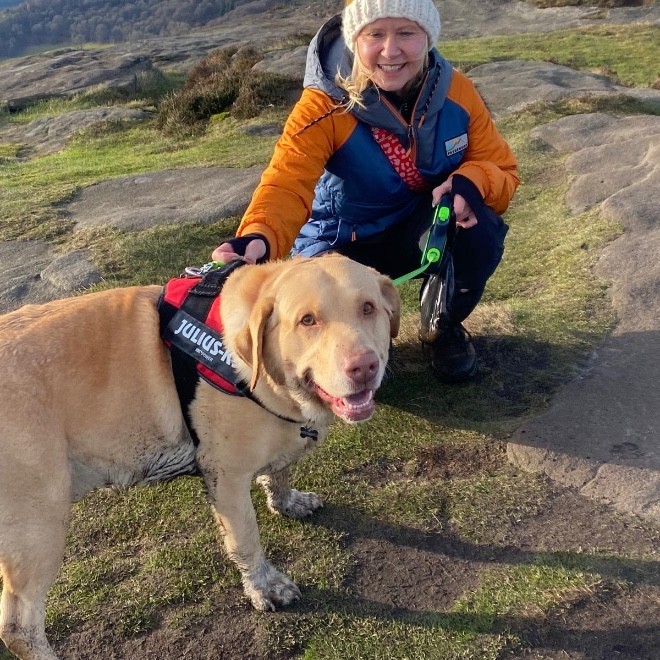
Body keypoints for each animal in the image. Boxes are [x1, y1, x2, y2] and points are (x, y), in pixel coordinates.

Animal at [0, 253, 400, 660]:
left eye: (368, 308)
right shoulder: (227, 478)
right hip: (40, 519)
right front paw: (264, 586)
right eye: (307, 320)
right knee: (18, 626)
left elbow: (280, 472)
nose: (364, 366)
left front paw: (287, 500)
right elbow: (246, 540)